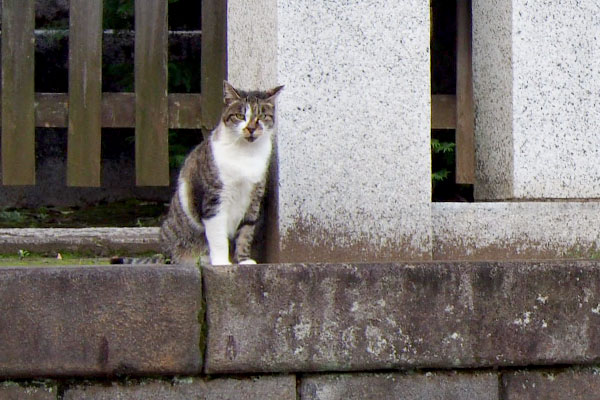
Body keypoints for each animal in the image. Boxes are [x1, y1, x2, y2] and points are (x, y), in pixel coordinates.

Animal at [113, 81, 286, 266]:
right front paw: (221, 263)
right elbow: (218, 236)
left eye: (262, 116)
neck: (246, 153)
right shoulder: (214, 199)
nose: (251, 128)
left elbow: (245, 233)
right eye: (240, 116)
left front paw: (243, 261)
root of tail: (163, 255)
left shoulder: (253, 199)